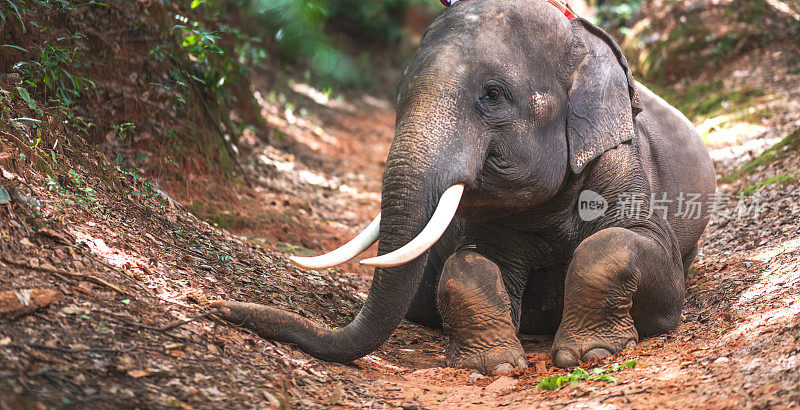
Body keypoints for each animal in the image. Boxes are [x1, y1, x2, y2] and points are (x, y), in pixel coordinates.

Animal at [211, 0, 712, 374]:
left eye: (492, 95)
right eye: (398, 92)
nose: (216, 308)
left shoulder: (624, 165)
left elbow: (630, 247)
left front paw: (590, 355)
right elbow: (468, 263)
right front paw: (495, 366)